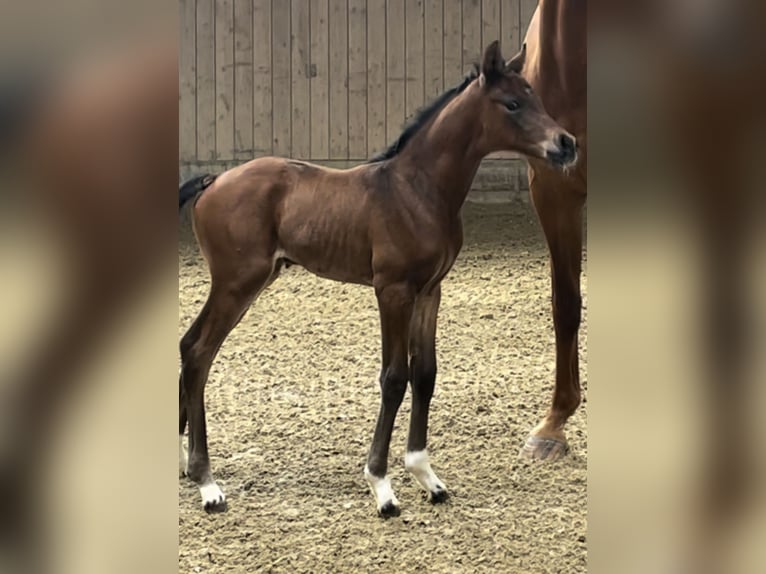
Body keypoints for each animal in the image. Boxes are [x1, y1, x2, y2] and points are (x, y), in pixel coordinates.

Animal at [178, 40, 576, 516]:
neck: (415, 190)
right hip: (238, 282)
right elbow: (394, 377)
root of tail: (213, 179)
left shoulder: (429, 291)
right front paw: (382, 486)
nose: (566, 144)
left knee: (189, 345)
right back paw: (207, 483)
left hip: (247, 281)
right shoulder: (393, 291)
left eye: (535, 97)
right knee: (199, 353)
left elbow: (425, 373)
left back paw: (184, 464)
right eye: (513, 103)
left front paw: (427, 477)